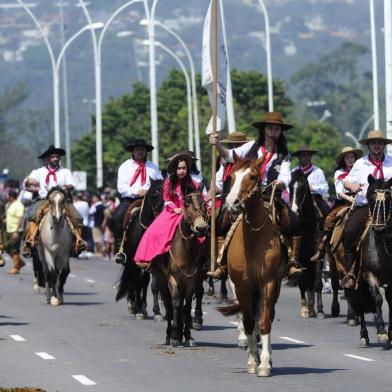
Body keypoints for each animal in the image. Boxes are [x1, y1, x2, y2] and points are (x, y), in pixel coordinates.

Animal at [152, 191, 208, 348]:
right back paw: (169, 334)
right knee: (168, 305)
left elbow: (187, 306)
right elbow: (175, 304)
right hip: (161, 281)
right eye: (186, 205)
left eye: (204, 204)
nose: (201, 228)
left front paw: (188, 336)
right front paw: (175, 336)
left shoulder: (192, 280)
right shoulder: (172, 279)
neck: (186, 249)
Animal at [217, 155, 284, 376]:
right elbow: (247, 322)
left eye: (253, 176)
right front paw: (252, 361)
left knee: (266, 316)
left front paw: (264, 364)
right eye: (231, 176)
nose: (232, 203)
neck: (254, 238)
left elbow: (264, 322)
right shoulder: (242, 286)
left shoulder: (268, 283)